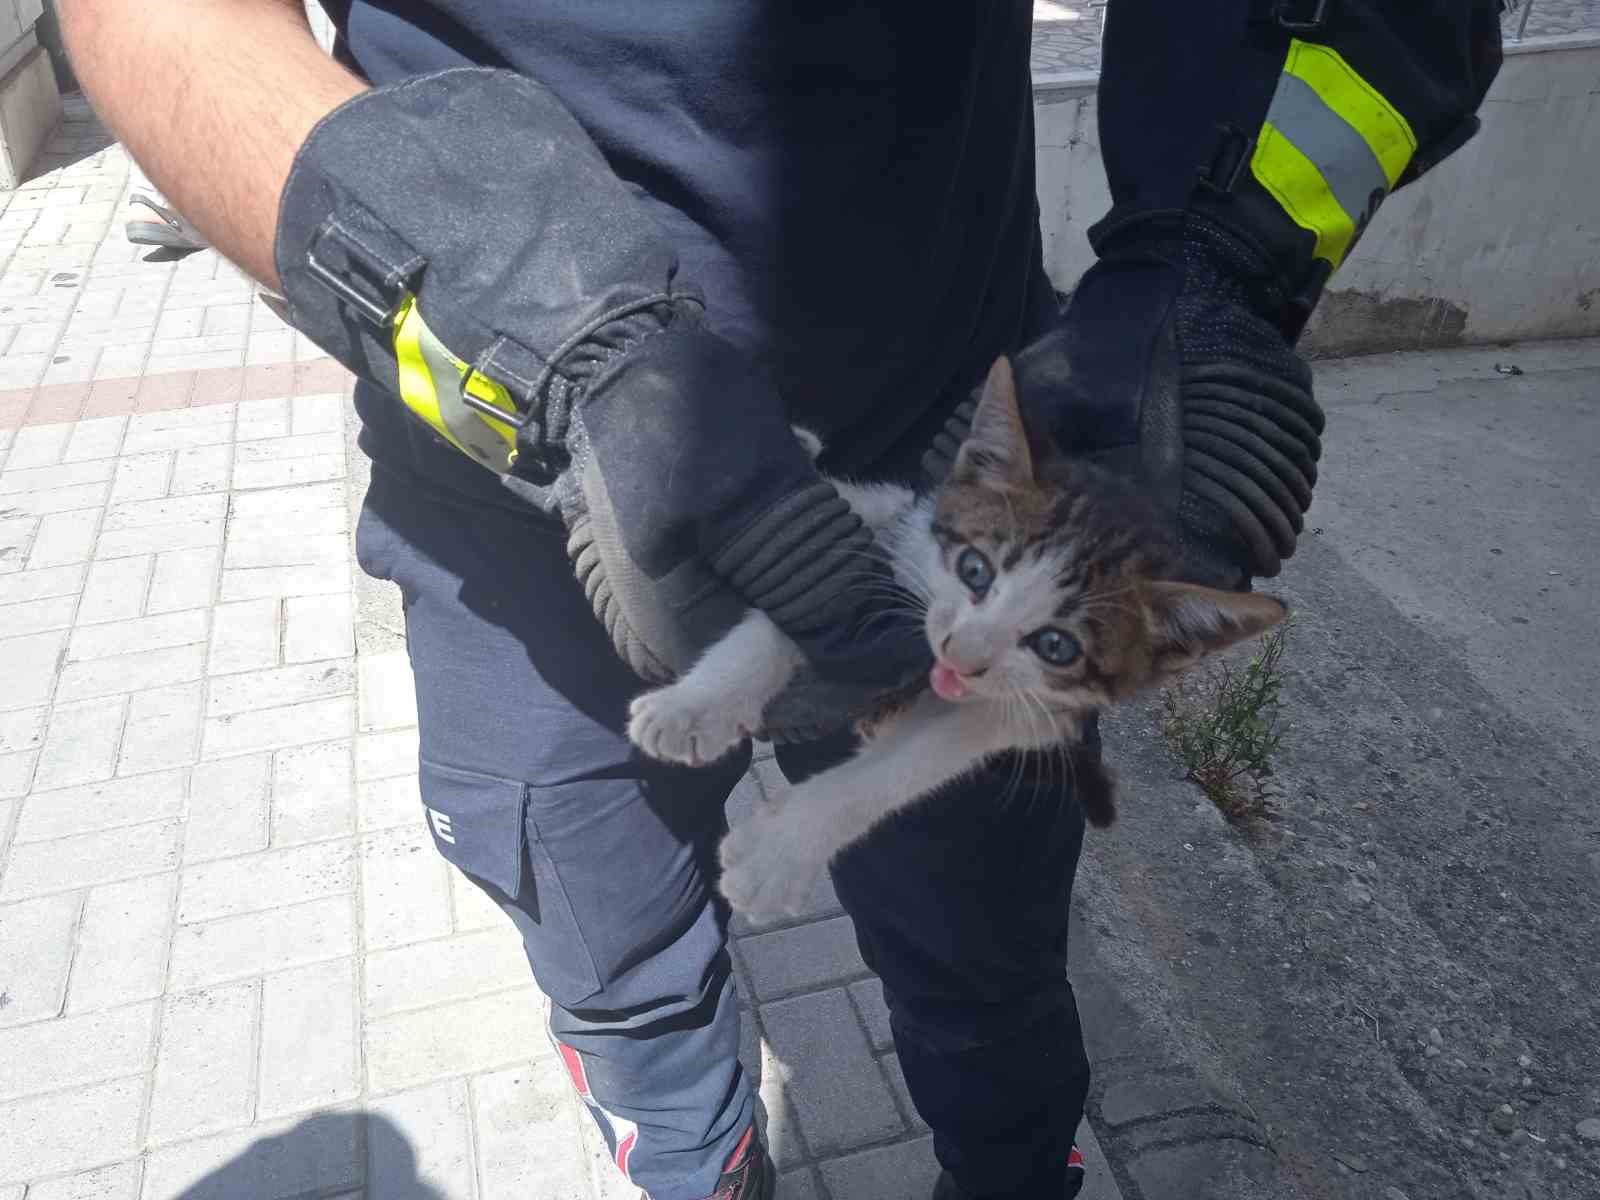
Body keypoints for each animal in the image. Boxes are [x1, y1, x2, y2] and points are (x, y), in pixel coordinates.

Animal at [624, 356, 1286, 921]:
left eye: (1057, 646)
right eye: (975, 569)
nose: (959, 658)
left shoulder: (1031, 710)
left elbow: (911, 764)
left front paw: (779, 854)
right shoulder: (879, 553)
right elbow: (802, 600)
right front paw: (693, 707)